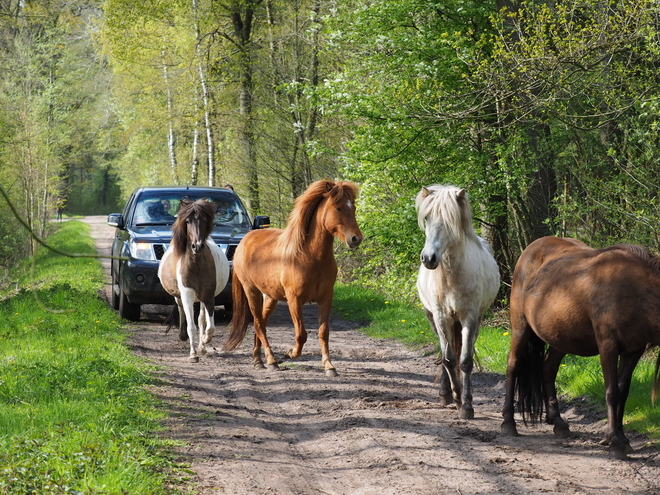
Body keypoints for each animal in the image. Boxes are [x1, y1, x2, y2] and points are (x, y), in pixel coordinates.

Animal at [157, 199, 229, 364]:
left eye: (204, 220)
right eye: (188, 221)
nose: (197, 246)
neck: (196, 265)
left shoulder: (208, 295)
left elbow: (209, 326)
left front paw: (205, 341)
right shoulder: (187, 294)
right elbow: (191, 326)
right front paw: (193, 354)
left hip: (201, 298)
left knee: (202, 318)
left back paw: (202, 346)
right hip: (179, 296)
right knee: (181, 309)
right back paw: (183, 336)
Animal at [224, 180, 364, 378]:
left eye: (354, 208)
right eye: (338, 207)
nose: (356, 238)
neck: (309, 257)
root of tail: (245, 240)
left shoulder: (326, 298)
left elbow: (323, 332)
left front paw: (329, 366)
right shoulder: (294, 300)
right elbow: (301, 334)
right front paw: (290, 353)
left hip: (270, 297)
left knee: (262, 324)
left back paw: (258, 359)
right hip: (251, 291)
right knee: (258, 324)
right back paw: (271, 361)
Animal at [418, 185, 500, 418]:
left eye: (450, 220)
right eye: (426, 217)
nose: (428, 258)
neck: (452, 276)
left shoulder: (469, 318)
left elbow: (464, 361)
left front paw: (467, 405)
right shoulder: (440, 317)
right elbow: (448, 358)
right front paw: (454, 395)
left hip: (476, 320)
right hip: (434, 319)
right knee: (444, 352)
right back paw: (445, 393)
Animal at [502, 237, 660, 462]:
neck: (635, 288)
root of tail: (531, 249)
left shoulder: (634, 350)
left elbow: (623, 392)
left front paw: (620, 438)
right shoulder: (608, 345)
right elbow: (612, 393)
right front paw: (615, 443)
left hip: (560, 337)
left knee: (548, 368)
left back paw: (558, 422)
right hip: (520, 328)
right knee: (513, 366)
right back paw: (508, 423)